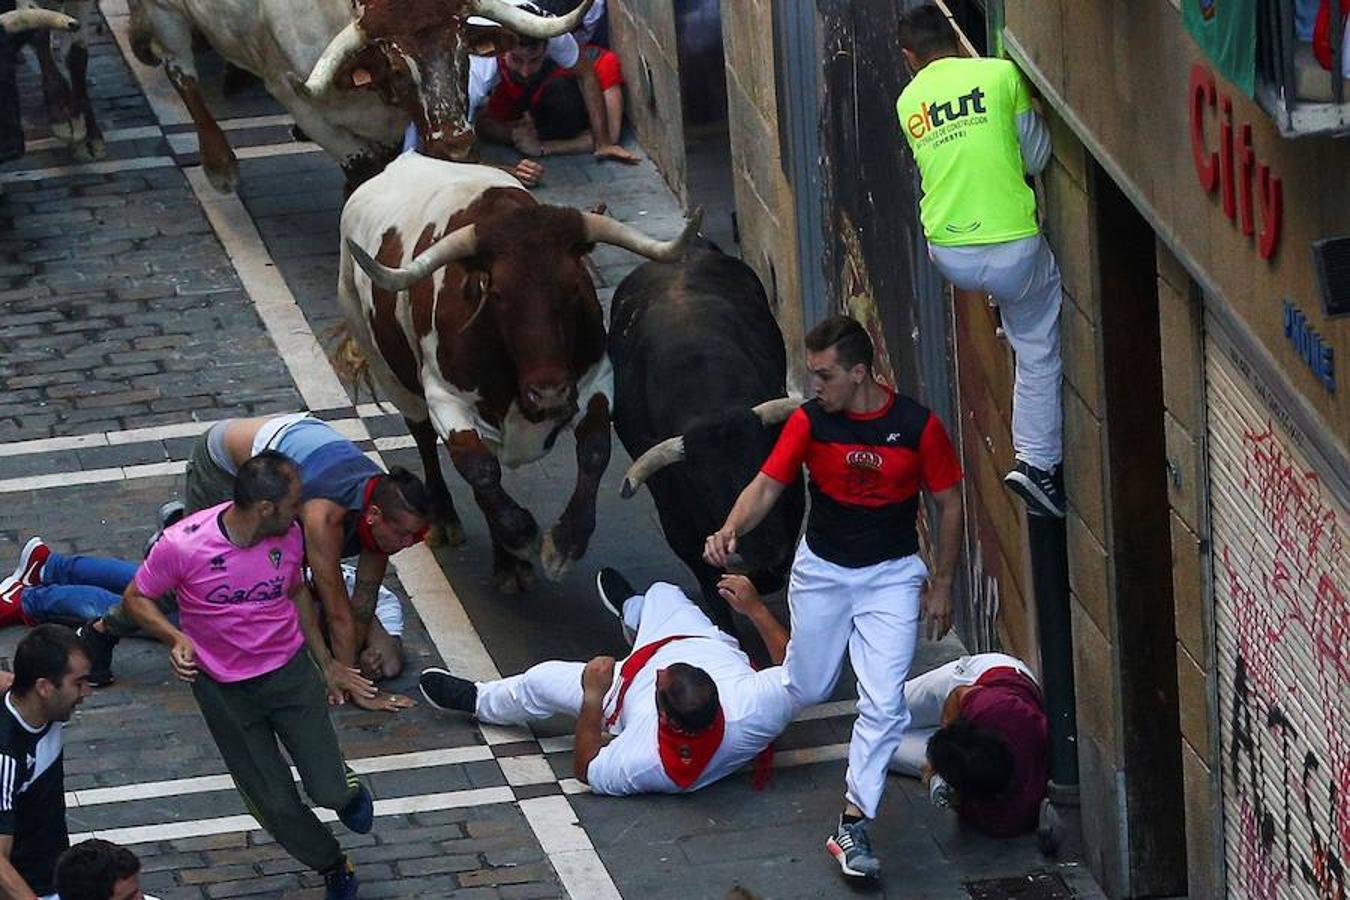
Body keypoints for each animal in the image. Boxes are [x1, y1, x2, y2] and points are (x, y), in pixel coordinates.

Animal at [128, 0, 588, 191]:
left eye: (463, 52)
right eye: (400, 68)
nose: (456, 144)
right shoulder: (296, 98)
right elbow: (364, 167)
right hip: (165, 13)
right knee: (180, 70)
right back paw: (220, 166)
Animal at [337, 155, 702, 591]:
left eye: (573, 288)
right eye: (497, 294)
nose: (549, 393)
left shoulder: (596, 377)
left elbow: (595, 449)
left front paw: (565, 543)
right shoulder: (445, 399)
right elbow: (479, 470)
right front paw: (522, 535)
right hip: (387, 368)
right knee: (425, 438)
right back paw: (447, 521)